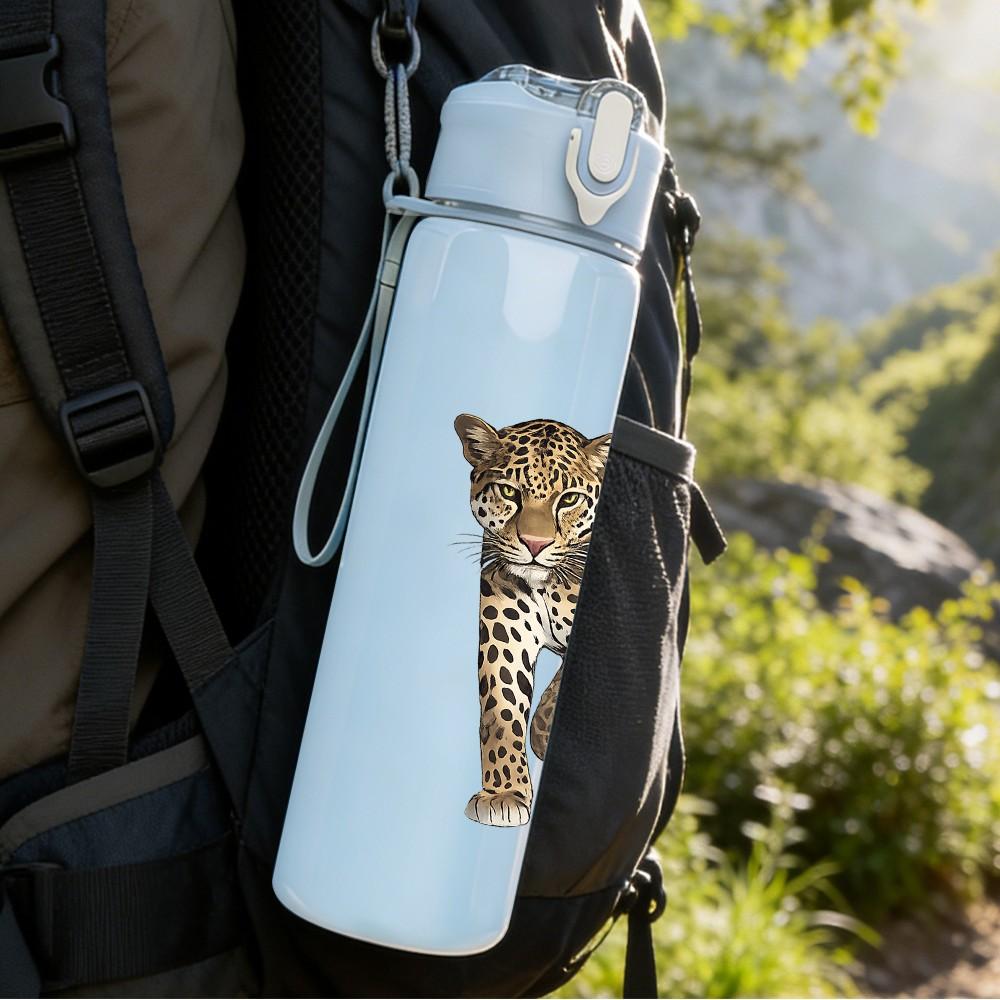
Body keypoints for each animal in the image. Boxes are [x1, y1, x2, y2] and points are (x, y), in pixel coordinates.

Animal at [454, 412, 610, 828]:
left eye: (569, 499)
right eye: (510, 493)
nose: (535, 545)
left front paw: (545, 731)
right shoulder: (505, 624)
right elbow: (502, 705)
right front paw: (504, 793)